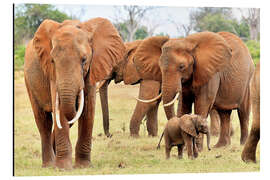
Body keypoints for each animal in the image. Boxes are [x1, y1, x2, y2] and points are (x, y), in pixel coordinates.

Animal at [24, 17, 125, 169]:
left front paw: (83, 167)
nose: (111, 135)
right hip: (29, 81)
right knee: (44, 121)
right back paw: (49, 165)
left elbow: (88, 110)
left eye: (84, 60)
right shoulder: (53, 74)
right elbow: (60, 109)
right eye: (52, 61)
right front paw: (63, 168)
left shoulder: (92, 68)